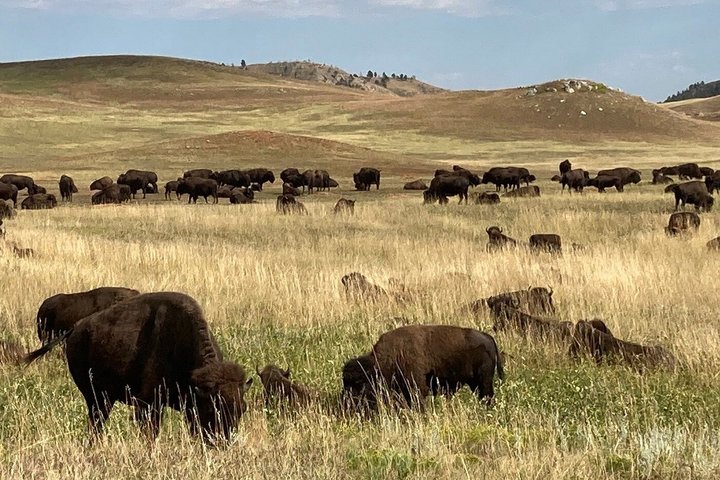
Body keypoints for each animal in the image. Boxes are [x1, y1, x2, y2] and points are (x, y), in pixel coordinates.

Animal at [24, 292, 253, 441]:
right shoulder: (149, 404)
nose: (223, 441)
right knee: (96, 421)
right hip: (95, 397)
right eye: (211, 408)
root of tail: (76, 329)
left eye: (242, 409)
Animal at [342, 325, 503, 409]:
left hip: (483, 381)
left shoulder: (417, 386)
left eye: (358, 384)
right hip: (474, 383)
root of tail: (488, 338)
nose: (346, 403)